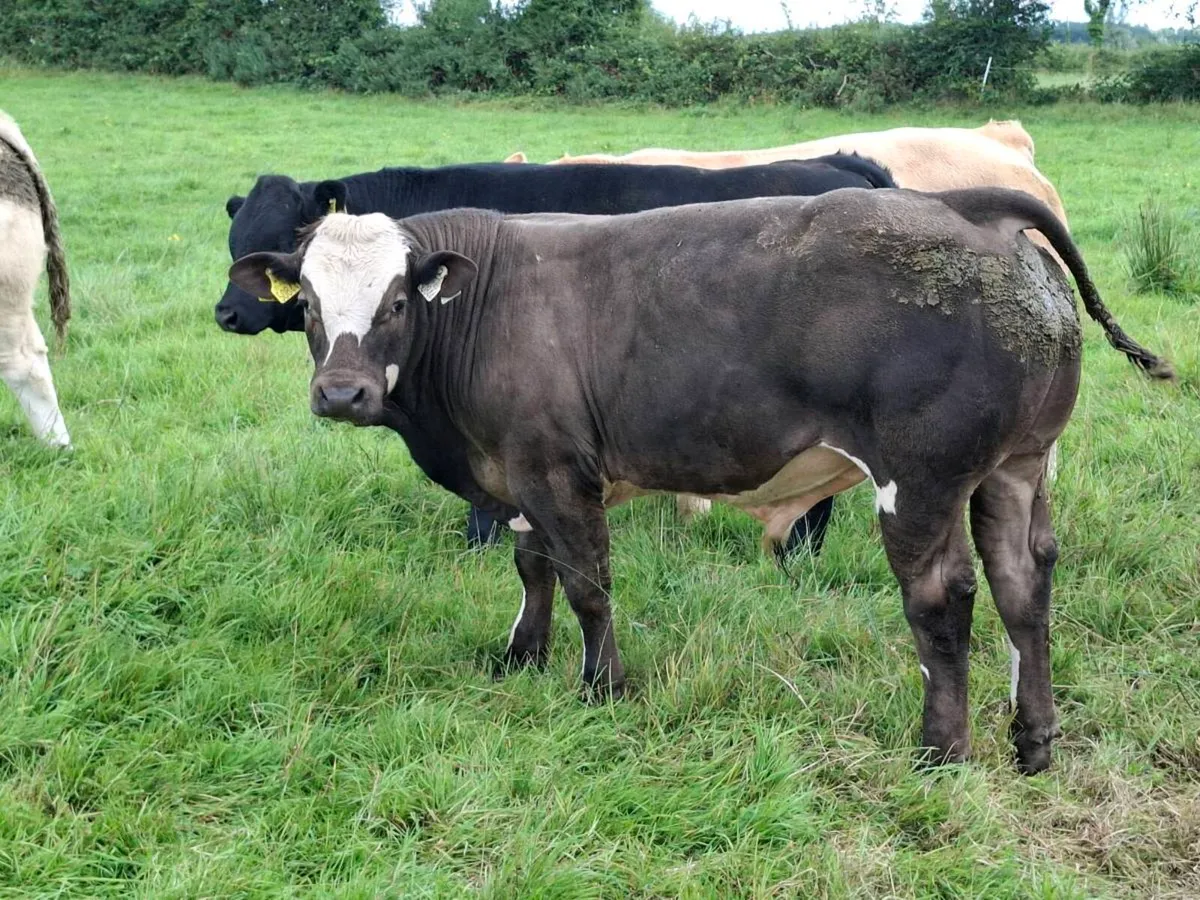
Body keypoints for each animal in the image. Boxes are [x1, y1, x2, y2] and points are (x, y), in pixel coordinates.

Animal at [228, 189, 1173, 774]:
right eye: (307, 303)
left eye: (395, 302)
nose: (341, 394)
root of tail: (969, 206)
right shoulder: (518, 473)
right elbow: (534, 570)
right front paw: (521, 657)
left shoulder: (555, 470)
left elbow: (588, 583)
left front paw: (601, 688)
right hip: (1017, 468)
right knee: (1024, 586)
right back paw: (1033, 741)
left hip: (921, 481)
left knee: (943, 599)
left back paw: (941, 749)